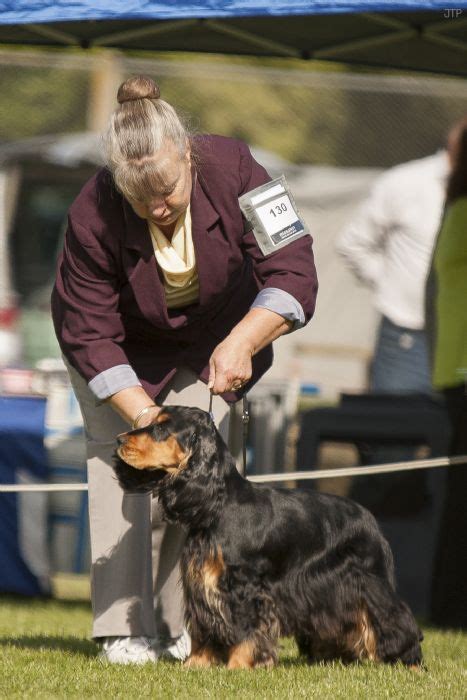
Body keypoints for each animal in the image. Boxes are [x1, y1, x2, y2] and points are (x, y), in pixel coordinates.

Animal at [114, 408, 424, 668]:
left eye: (162, 427)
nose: (118, 440)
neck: (218, 504)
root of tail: (370, 518)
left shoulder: (245, 585)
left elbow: (247, 628)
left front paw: (238, 666)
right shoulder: (201, 582)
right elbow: (204, 627)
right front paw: (196, 664)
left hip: (369, 581)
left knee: (393, 618)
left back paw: (406, 662)